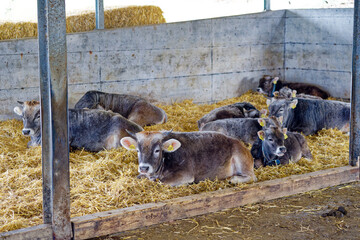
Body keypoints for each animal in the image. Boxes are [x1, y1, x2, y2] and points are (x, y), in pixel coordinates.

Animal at [121, 131, 256, 186]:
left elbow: (161, 182)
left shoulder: (185, 175)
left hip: (240, 159)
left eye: (157, 150)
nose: (144, 168)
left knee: (252, 177)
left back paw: (233, 179)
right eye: (137, 150)